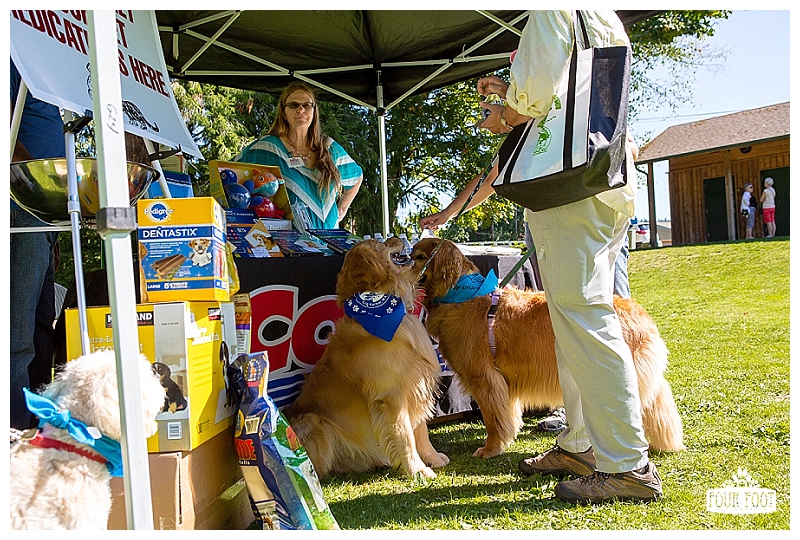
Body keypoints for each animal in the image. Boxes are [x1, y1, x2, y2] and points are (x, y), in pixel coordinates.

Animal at [283, 239, 449, 479]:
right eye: (381, 243)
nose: (399, 238)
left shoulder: (415, 383)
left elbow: (420, 429)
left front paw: (432, 458)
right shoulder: (391, 396)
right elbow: (405, 435)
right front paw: (417, 469)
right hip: (316, 422)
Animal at [410, 238, 685, 458]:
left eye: (419, 257)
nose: (401, 262)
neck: (460, 293)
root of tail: (639, 313)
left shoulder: (485, 379)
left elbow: (494, 420)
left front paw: (491, 449)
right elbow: (508, 416)